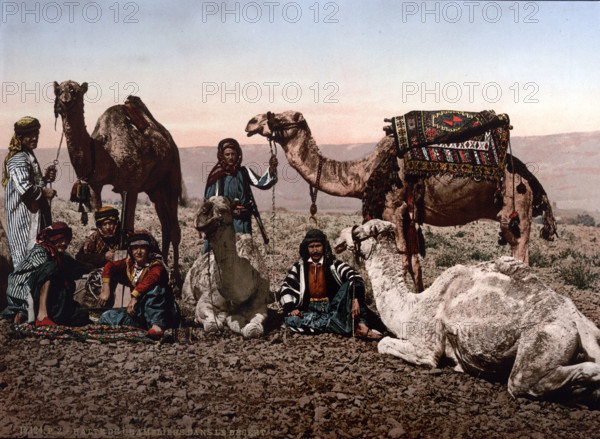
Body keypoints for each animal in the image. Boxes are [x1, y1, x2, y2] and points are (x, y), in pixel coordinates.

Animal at [336, 222, 600, 404]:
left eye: (359, 231)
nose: (339, 238)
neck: (412, 306)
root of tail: (576, 320)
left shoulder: (426, 346)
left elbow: (386, 345)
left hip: (544, 340)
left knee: (522, 381)